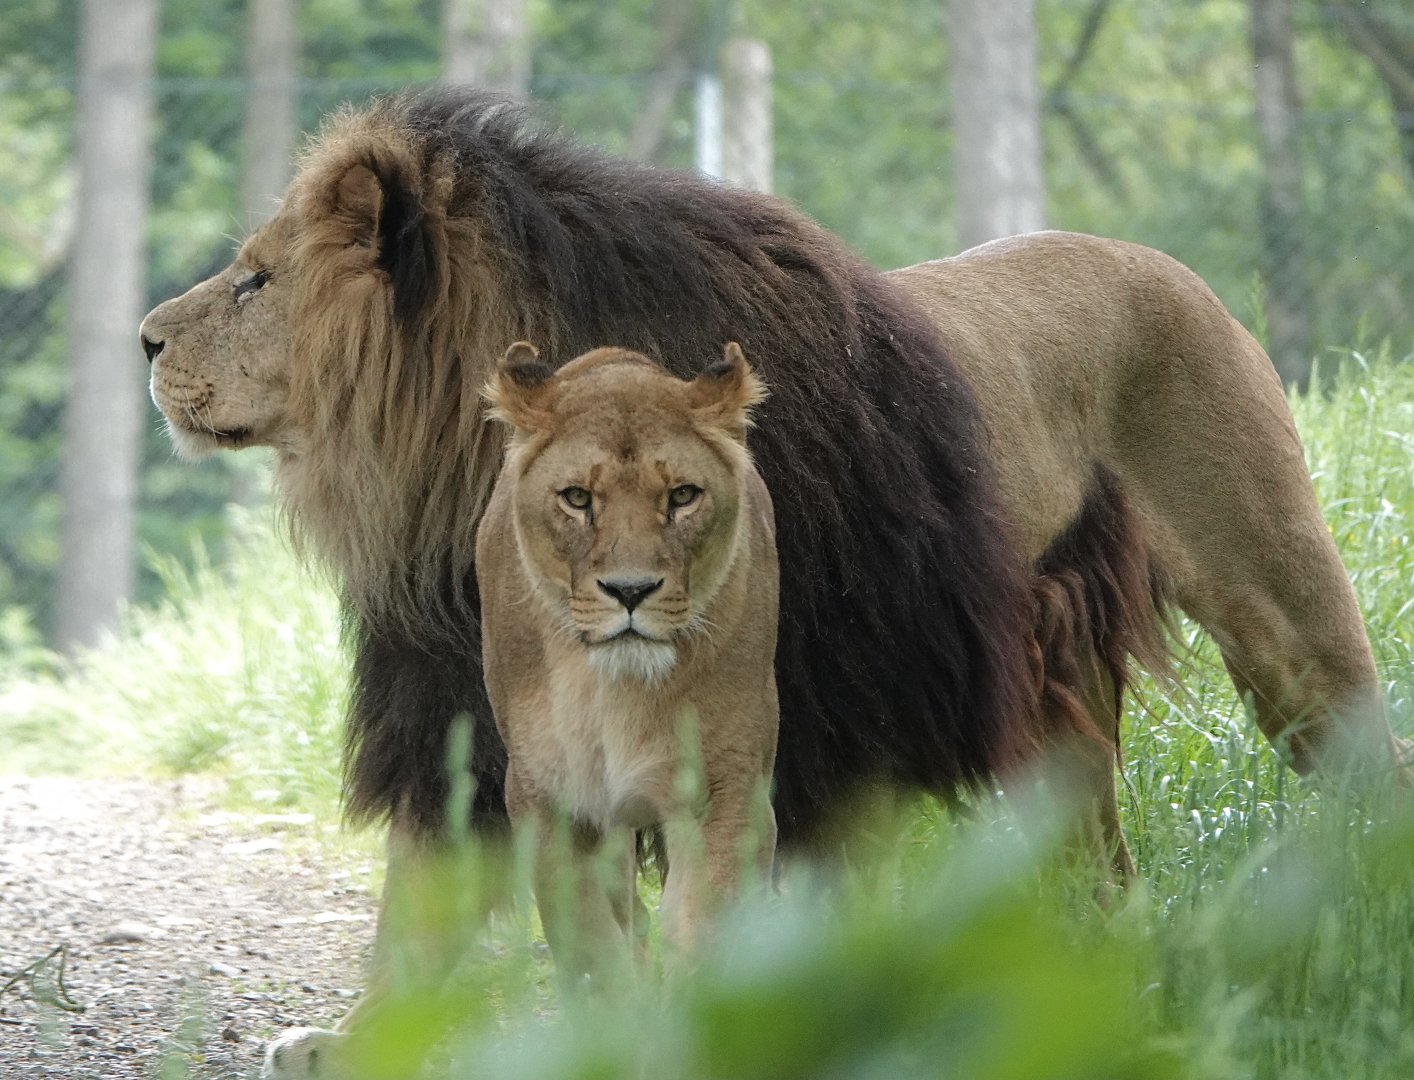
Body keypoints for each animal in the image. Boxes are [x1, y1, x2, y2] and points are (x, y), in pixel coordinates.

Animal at [478, 340, 778, 986]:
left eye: (683, 495)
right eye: (577, 498)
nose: (631, 590)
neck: (618, 689)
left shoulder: (726, 792)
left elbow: (704, 932)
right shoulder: (548, 804)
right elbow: (592, 947)